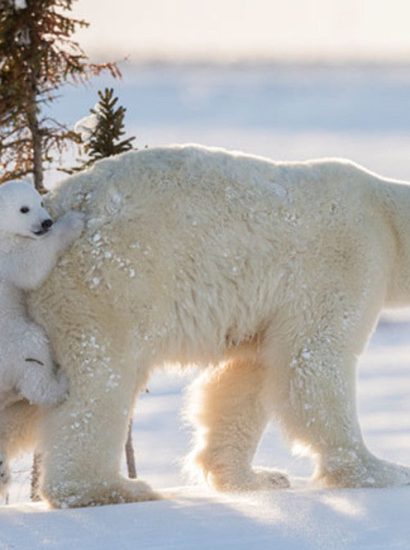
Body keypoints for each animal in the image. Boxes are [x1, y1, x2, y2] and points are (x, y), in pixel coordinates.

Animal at [4, 143, 410, 508]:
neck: (387, 216)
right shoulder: (347, 257)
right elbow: (313, 361)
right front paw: (383, 470)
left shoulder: (265, 312)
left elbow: (245, 377)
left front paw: (256, 478)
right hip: (105, 286)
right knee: (99, 382)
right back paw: (112, 489)